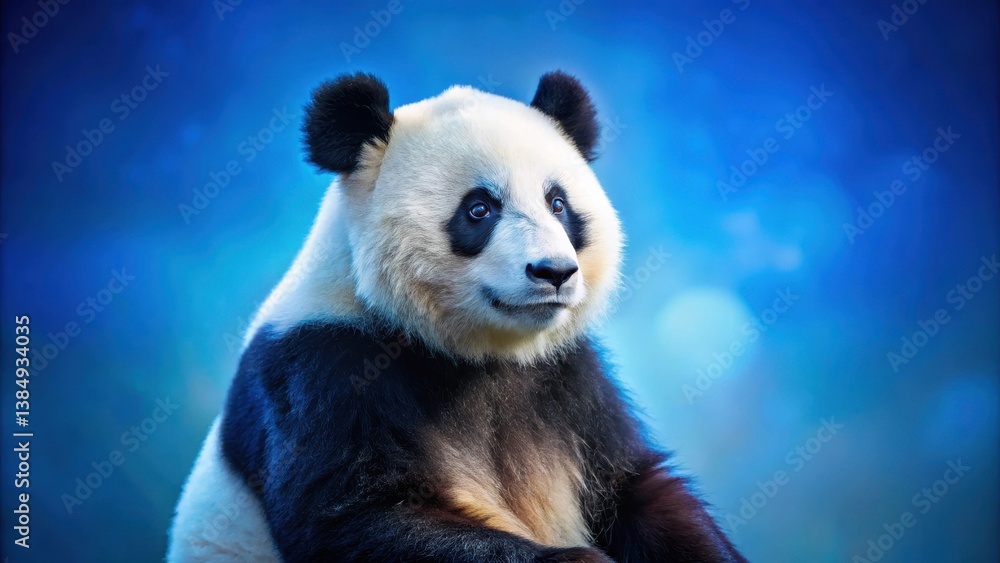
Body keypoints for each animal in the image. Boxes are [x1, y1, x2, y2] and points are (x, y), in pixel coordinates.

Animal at [168, 71, 746, 562]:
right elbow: (354, 518)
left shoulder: (570, 379)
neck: (477, 351)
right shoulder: (323, 370)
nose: (554, 272)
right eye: (479, 209)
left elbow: (632, 490)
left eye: (558, 204)